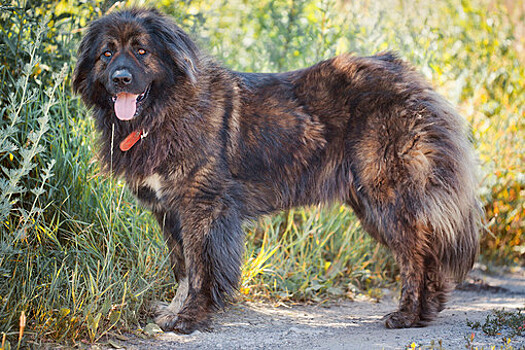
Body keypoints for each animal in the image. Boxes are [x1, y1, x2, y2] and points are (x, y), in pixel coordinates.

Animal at [71, 7, 482, 334]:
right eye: (107, 54)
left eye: (142, 51)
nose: (121, 78)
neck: (163, 111)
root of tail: (408, 76)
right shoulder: (169, 211)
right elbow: (182, 268)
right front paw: (173, 313)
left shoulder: (202, 207)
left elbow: (200, 269)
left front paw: (190, 318)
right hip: (372, 203)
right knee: (427, 254)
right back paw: (425, 312)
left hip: (388, 196)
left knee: (416, 255)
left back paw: (407, 315)